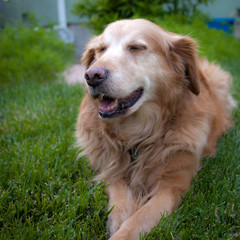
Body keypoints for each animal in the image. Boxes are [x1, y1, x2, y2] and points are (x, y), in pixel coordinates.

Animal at [75, 19, 234, 240]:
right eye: (100, 50)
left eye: (136, 47)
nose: (92, 75)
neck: (138, 136)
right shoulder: (109, 169)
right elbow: (120, 198)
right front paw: (118, 219)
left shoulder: (172, 185)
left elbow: (137, 221)